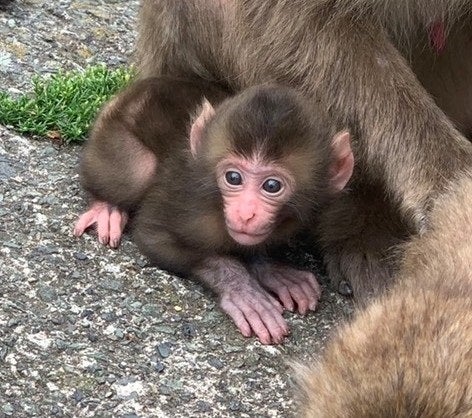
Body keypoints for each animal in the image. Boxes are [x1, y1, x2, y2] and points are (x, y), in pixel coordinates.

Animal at [74, 77, 355, 344]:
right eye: (233, 178)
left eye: (272, 185)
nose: (246, 214)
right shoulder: (187, 202)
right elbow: (155, 237)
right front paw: (242, 289)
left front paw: (273, 270)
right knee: (138, 170)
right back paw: (108, 207)